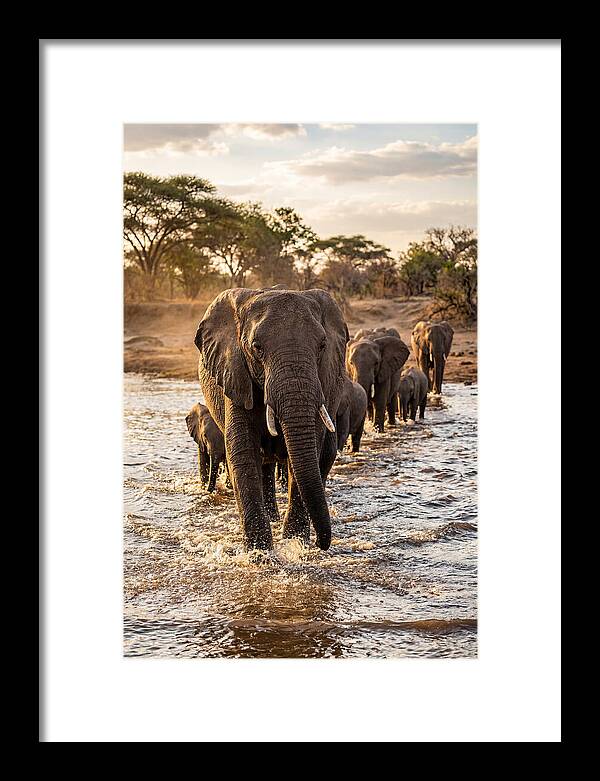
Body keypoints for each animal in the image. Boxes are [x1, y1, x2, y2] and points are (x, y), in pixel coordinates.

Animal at [194, 287, 348, 551]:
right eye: (257, 347)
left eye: (322, 345)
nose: (322, 543)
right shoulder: (235, 374)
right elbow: (243, 452)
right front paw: (260, 554)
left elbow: (308, 451)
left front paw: (296, 545)